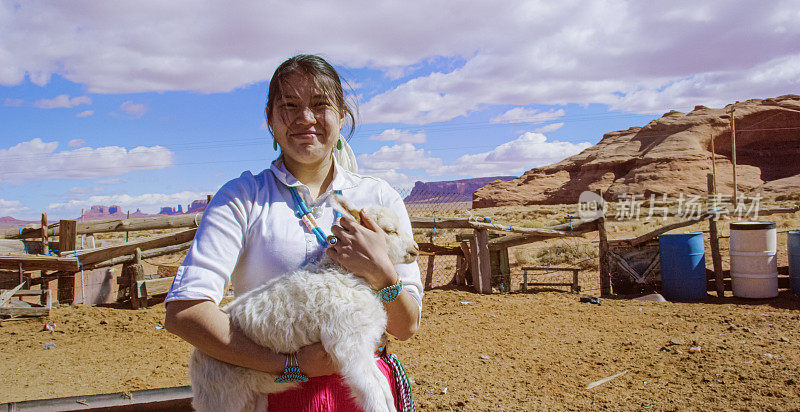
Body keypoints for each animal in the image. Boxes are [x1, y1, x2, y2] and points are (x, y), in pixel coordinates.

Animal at [191, 201, 422, 412]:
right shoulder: (349, 343)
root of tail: (196, 358)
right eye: (389, 230)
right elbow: (373, 392)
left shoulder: (362, 343)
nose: (416, 249)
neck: (344, 276)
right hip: (221, 395)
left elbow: (382, 386)